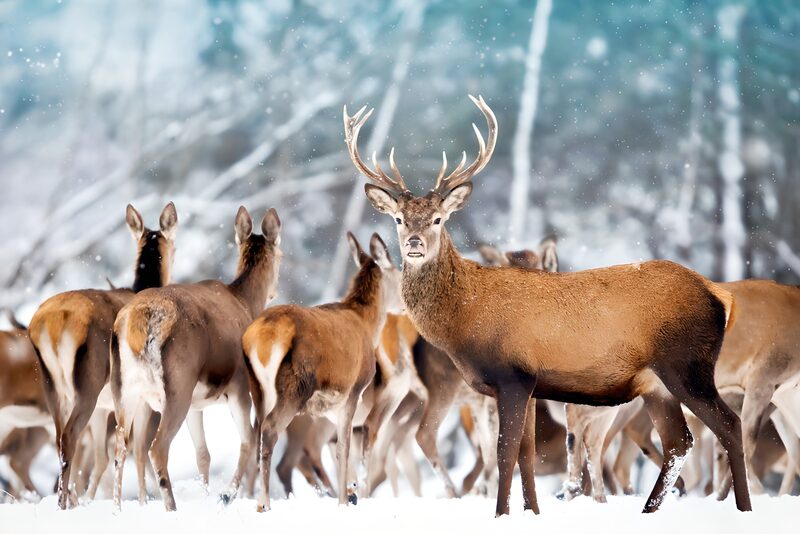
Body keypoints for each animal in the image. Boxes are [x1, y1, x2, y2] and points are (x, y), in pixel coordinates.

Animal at [28, 202, 178, 509]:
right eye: (175, 246)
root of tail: (51, 324)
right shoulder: (140, 398)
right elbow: (139, 449)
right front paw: (143, 502)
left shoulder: (104, 407)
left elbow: (103, 456)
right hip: (88, 382)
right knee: (70, 438)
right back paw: (64, 504)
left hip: (53, 386)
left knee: (60, 438)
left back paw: (68, 500)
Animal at [110, 206, 281, 512]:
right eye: (282, 256)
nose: (275, 290)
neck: (246, 303)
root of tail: (137, 321)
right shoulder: (239, 385)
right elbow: (249, 441)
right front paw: (226, 495)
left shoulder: (196, 404)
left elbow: (203, 454)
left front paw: (207, 494)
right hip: (178, 382)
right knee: (157, 447)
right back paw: (171, 507)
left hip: (126, 388)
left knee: (120, 447)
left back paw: (117, 510)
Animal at [242, 232, 398, 511]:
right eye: (400, 274)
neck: (368, 325)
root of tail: (263, 338)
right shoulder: (353, 389)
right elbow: (344, 448)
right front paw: (345, 500)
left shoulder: (328, 404)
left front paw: (352, 490)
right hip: (294, 387)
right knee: (270, 431)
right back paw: (265, 504)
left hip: (257, 388)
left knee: (257, 433)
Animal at [345, 94, 752, 515]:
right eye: (398, 219)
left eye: (439, 219)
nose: (414, 243)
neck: (466, 318)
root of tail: (720, 294)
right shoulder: (527, 383)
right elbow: (526, 452)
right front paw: (532, 512)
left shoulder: (512, 375)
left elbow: (505, 452)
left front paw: (501, 513)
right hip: (656, 383)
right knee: (679, 440)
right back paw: (648, 510)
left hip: (687, 365)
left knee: (729, 424)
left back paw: (742, 508)